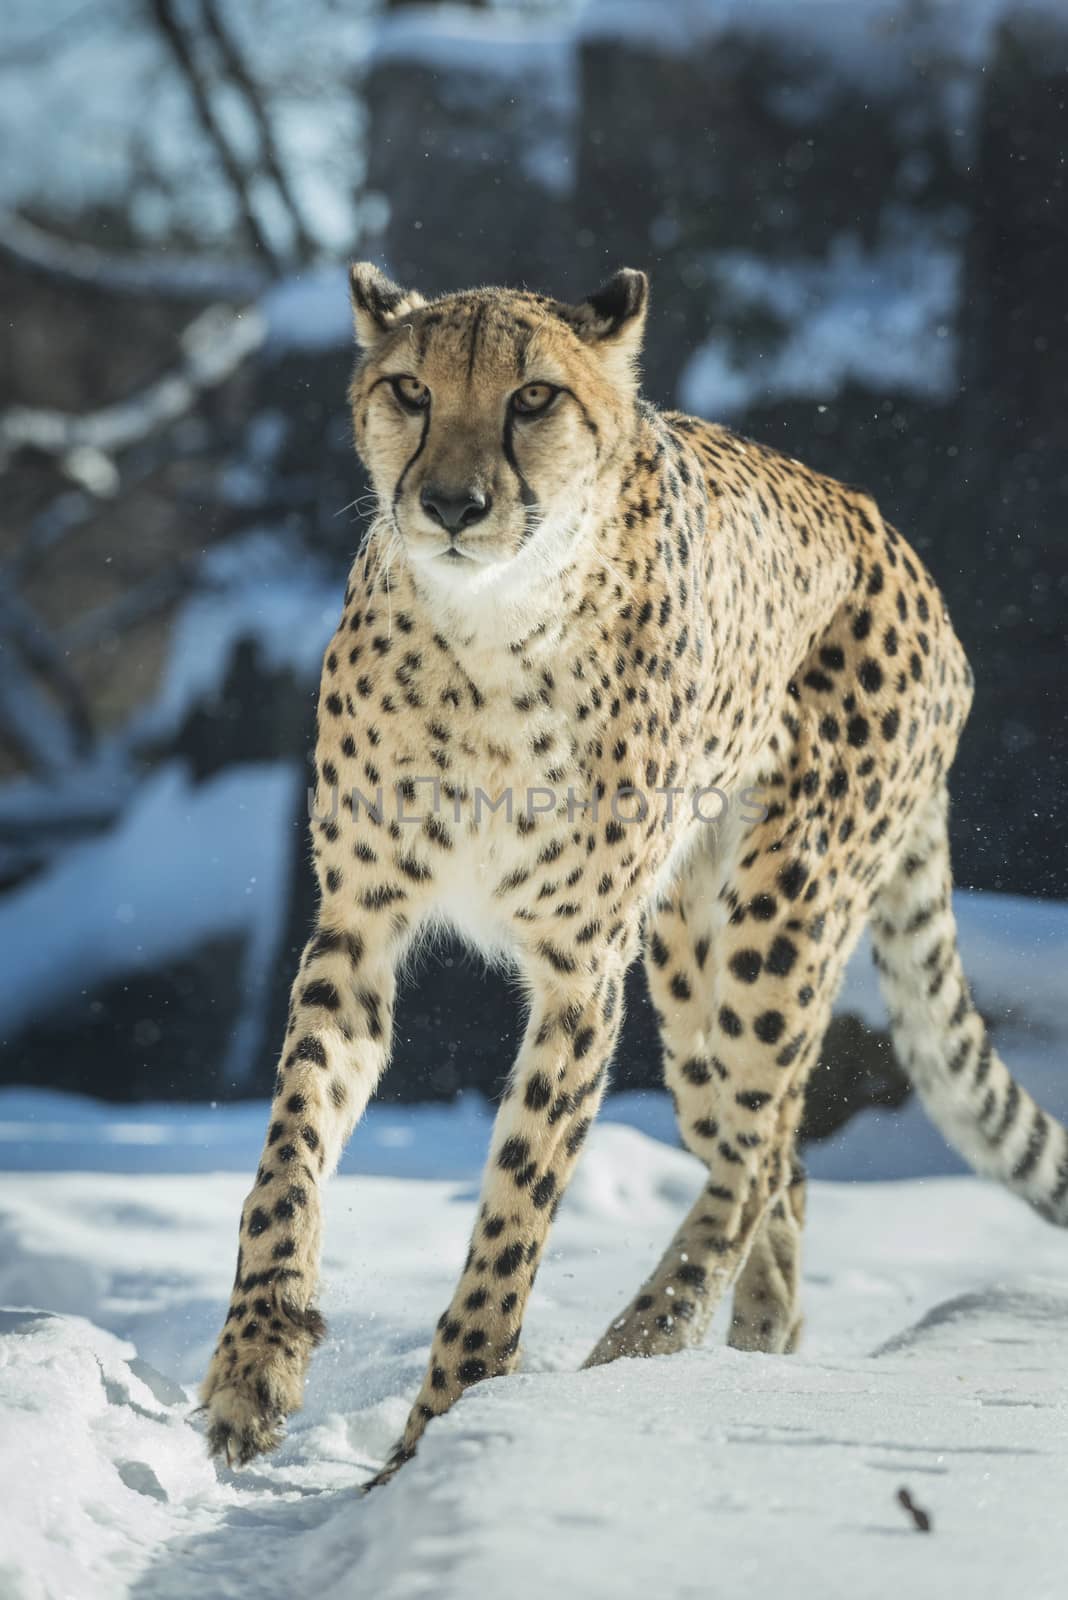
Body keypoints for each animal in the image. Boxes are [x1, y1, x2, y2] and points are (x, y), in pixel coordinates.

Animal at [202, 259, 1068, 1472]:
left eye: (532, 398)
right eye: (412, 389)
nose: (453, 506)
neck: (489, 631)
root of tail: (898, 545)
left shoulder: (580, 972)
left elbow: (516, 1211)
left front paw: (444, 1428)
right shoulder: (360, 923)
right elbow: (288, 1152)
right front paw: (256, 1364)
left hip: (780, 922)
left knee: (755, 1156)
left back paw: (650, 1335)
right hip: (689, 971)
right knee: (773, 1152)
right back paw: (745, 1354)